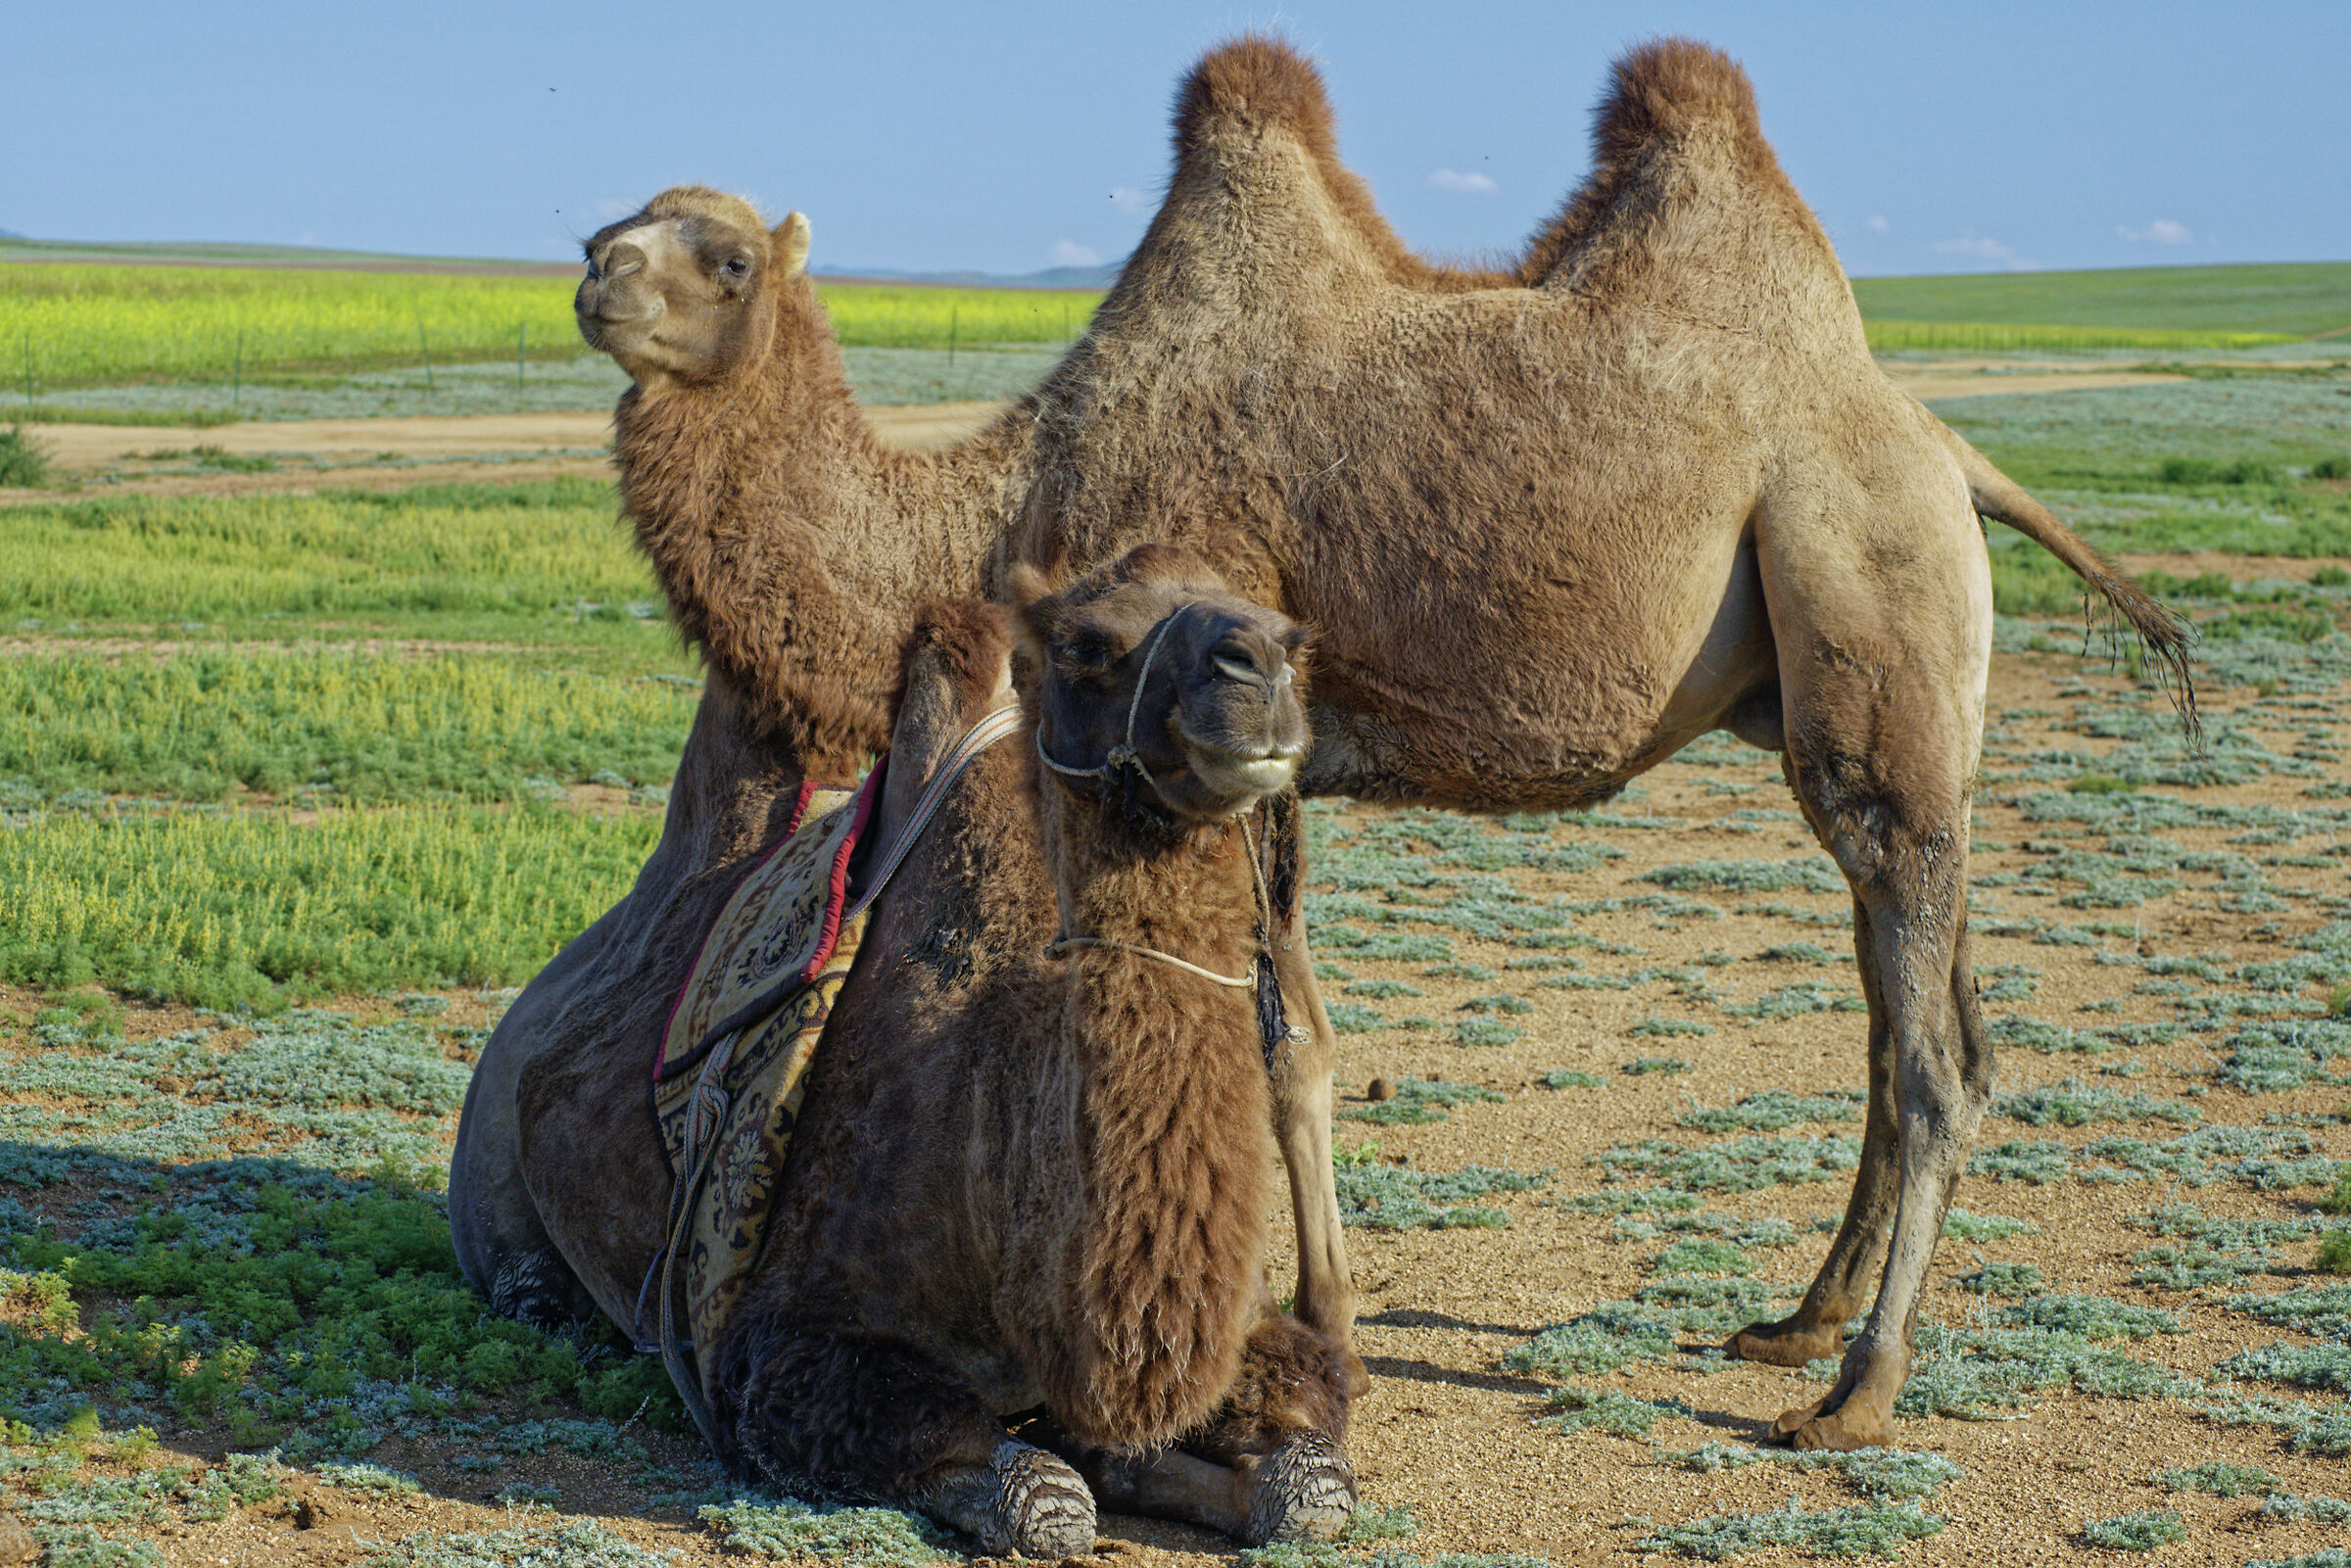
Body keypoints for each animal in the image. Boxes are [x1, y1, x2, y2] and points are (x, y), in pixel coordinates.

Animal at [477, 546, 1360, 1553]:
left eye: (1291, 630)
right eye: (1086, 643)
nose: (1262, 667)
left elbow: (1313, 1483)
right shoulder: (782, 1352)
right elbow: (1045, 1499)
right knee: (532, 1288)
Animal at [517, 36, 2196, 1452]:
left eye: (725, 255)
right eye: (618, 219)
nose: (595, 273)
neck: (1006, 500)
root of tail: (1947, 447)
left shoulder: (1237, 726)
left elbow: (1286, 1047)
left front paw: (1322, 1325)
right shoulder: (1264, 761)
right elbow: (1298, 1037)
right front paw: (1322, 1312)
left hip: (1865, 597)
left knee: (1928, 1055)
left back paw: (1856, 1395)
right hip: (1871, 698)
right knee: (1923, 1015)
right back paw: (1795, 1323)